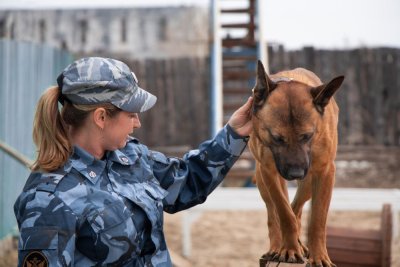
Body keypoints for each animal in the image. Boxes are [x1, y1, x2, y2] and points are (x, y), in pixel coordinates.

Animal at [250, 61, 344, 267]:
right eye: (277, 138)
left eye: (307, 136)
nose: (296, 174)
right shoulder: (269, 171)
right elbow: (283, 212)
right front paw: (289, 248)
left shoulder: (324, 172)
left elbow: (317, 219)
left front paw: (319, 257)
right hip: (263, 180)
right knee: (274, 212)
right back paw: (278, 246)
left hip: (309, 180)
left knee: (298, 207)